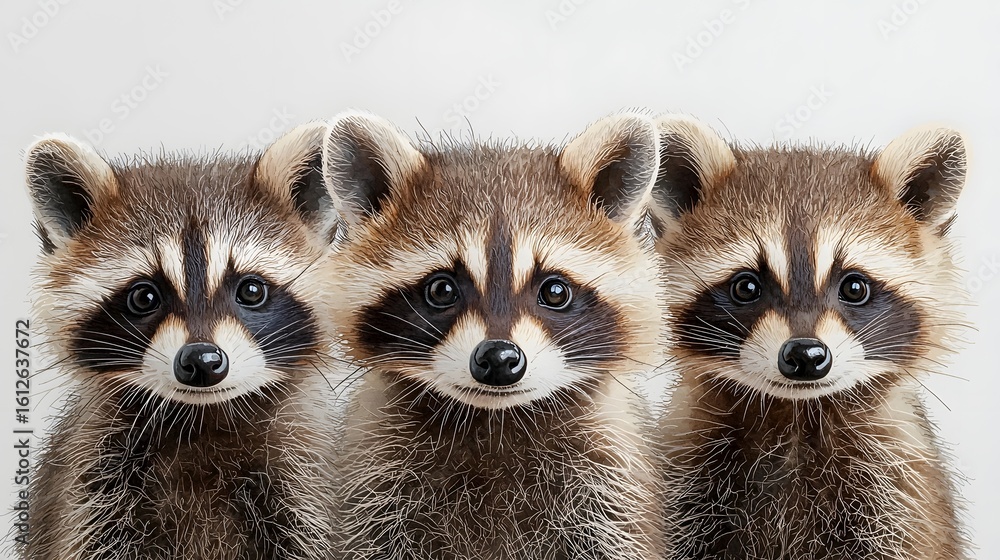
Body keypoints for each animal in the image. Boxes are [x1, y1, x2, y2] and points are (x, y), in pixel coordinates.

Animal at [22, 124, 341, 559]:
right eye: (144, 297)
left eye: (251, 291)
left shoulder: (299, 479)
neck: (200, 418)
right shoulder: (93, 481)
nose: (203, 360)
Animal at [320, 112, 668, 559]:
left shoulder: (609, 474)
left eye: (555, 291)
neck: (494, 420)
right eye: (441, 290)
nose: (499, 359)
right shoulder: (377, 473)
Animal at [649, 115, 970, 559]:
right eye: (746, 287)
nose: (805, 355)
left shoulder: (901, 486)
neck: (796, 416)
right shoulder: (684, 465)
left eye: (855, 287)